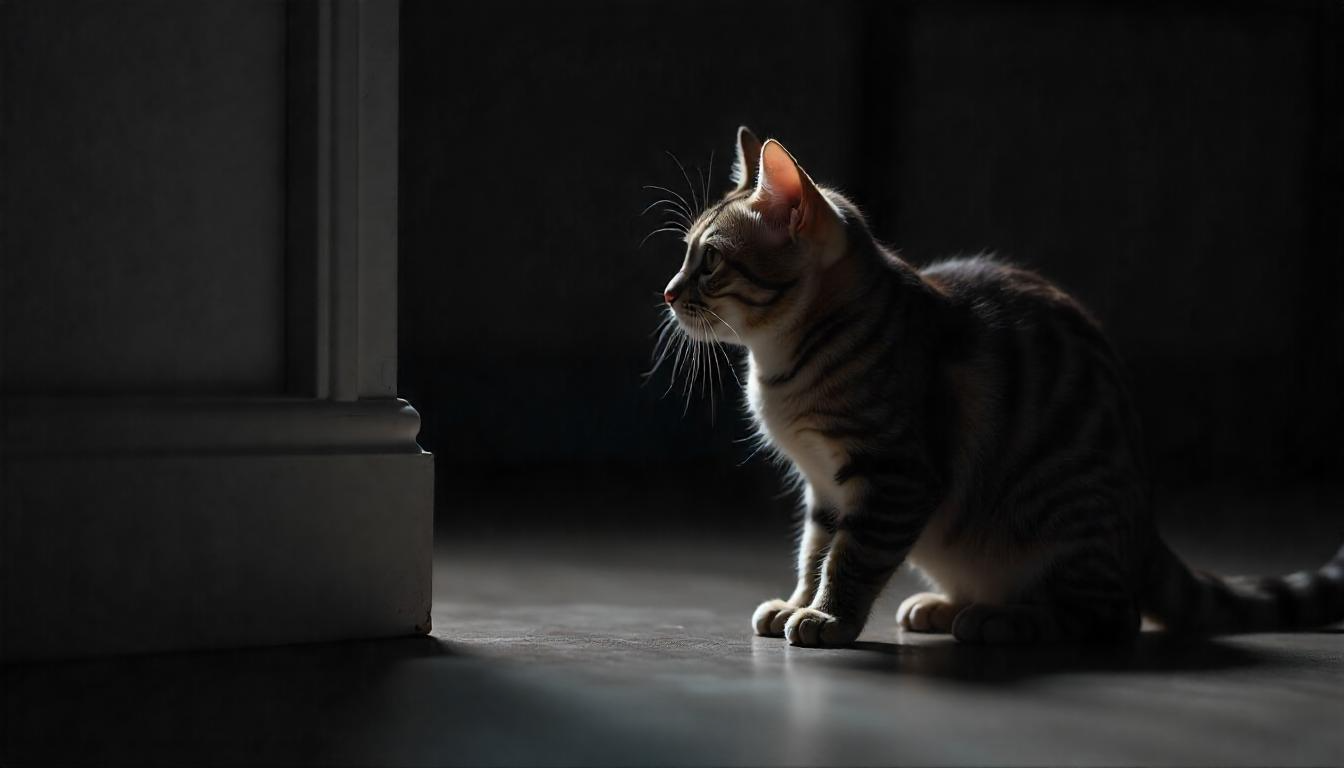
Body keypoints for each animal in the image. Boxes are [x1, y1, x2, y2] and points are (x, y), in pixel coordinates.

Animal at [650, 126, 1344, 648]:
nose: (667, 293)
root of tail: (1144, 527)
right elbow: (814, 550)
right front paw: (797, 602)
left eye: (709, 262)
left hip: (1064, 518)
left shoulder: (896, 475)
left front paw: (828, 616)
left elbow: (851, 557)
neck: (781, 364)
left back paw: (1002, 619)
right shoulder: (824, 487)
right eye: (685, 255)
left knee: (1110, 616)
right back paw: (942, 607)